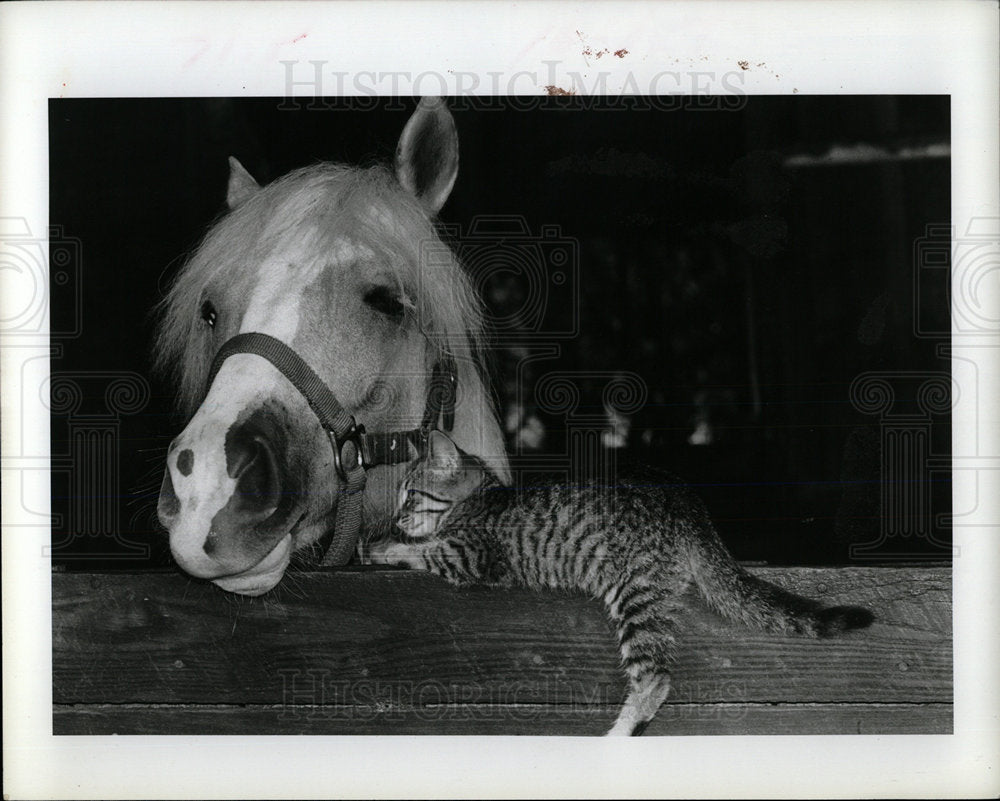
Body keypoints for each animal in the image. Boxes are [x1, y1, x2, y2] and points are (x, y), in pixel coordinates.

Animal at [370, 432, 876, 732]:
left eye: (410, 496)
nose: (394, 518)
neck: (478, 498)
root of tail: (689, 503)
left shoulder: (474, 555)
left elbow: (427, 549)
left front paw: (385, 546)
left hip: (637, 594)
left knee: (656, 678)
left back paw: (619, 734)